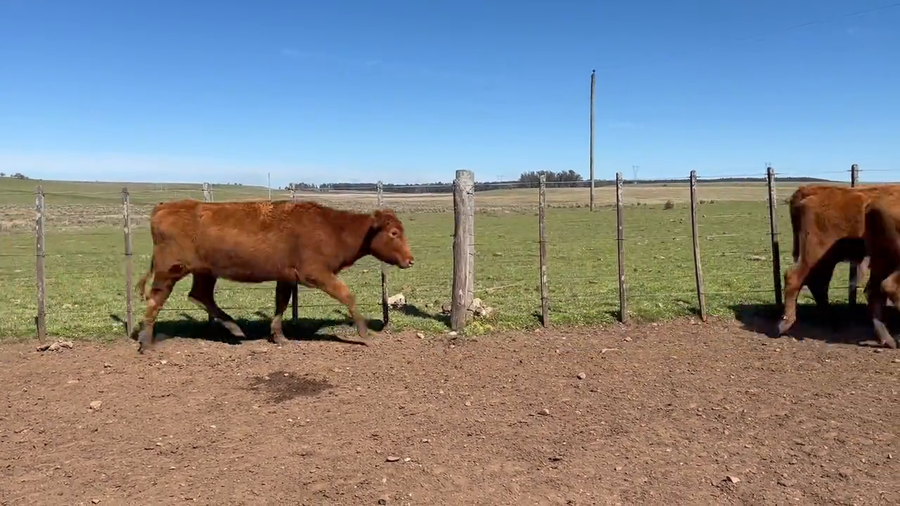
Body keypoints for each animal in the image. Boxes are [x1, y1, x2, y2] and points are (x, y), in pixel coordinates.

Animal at [133, 199, 415, 354]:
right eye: (393, 233)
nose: (410, 260)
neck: (332, 228)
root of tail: (165, 207)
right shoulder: (315, 273)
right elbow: (348, 296)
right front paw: (364, 332)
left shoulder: (286, 275)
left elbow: (281, 303)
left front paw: (278, 335)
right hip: (169, 270)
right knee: (156, 300)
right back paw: (146, 342)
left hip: (205, 272)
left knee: (200, 296)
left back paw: (235, 329)